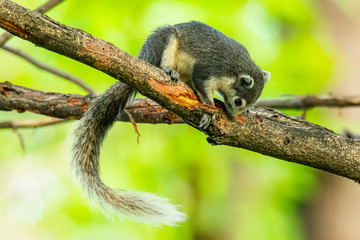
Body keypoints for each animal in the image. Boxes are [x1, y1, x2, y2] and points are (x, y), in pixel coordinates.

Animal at [72, 21, 270, 227]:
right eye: (238, 101)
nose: (232, 115)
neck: (235, 67)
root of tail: (143, 57)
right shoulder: (209, 70)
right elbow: (203, 87)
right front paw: (209, 108)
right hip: (164, 41)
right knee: (162, 62)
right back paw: (169, 71)